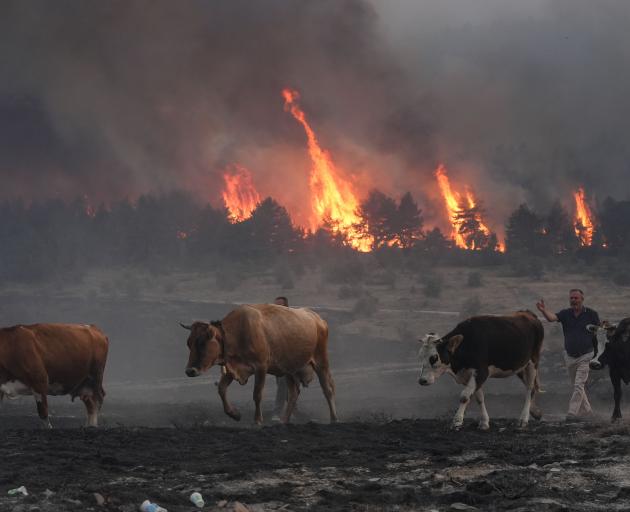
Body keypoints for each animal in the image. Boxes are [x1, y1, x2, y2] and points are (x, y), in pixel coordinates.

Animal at [181, 304, 338, 424]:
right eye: (188, 343)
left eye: (202, 343)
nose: (190, 371)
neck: (237, 333)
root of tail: (318, 319)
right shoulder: (232, 369)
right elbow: (221, 389)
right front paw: (234, 414)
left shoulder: (261, 367)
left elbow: (257, 394)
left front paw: (257, 420)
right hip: (289, 370)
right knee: (294, 394)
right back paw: (284, 421)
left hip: (321, 361)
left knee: (328, 389)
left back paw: (334, 419)